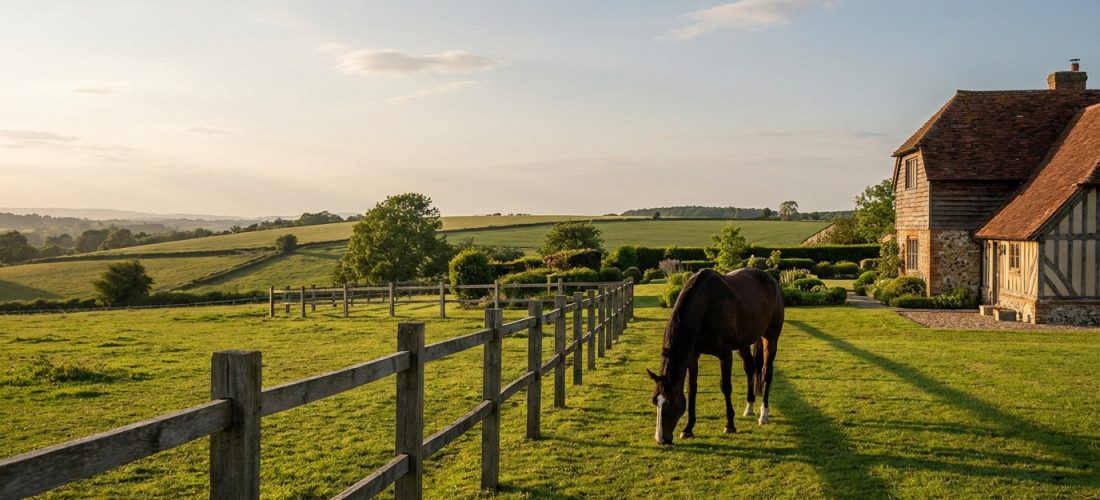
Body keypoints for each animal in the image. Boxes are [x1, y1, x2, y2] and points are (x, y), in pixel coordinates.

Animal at [647, 268, 783, 445]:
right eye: (655, 401)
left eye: (671, 403)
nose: (661, 439)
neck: (706, 305)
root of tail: (771, 280)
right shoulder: (693, 356)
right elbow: (692, 389)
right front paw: (688, 429)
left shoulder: (725, 355)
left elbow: (725, 387)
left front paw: (730, 425)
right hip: (744, 343)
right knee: (750, 368)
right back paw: (749, 408)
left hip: (771, 337)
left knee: (767, 372)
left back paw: (764, 415)